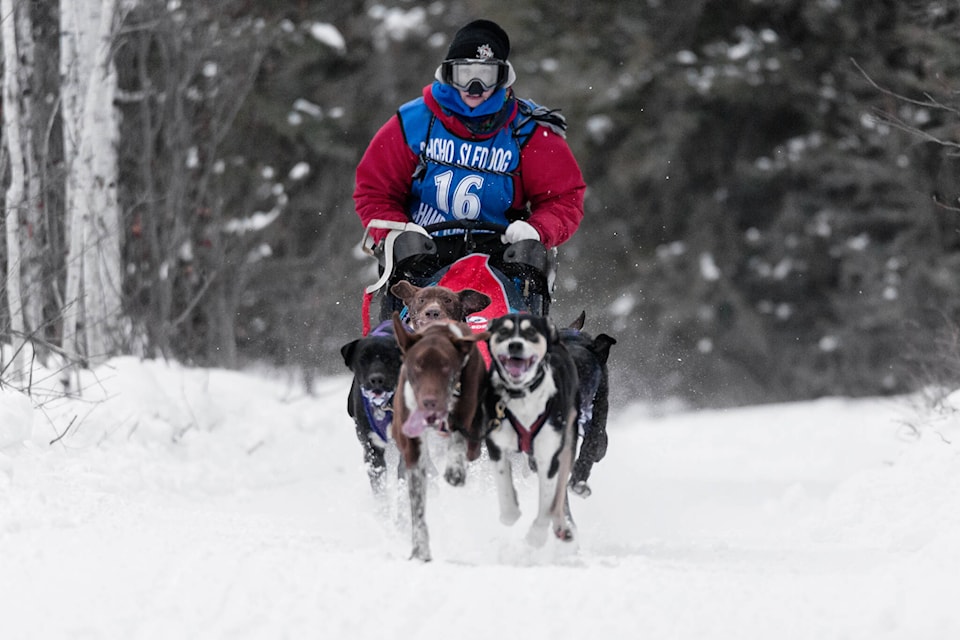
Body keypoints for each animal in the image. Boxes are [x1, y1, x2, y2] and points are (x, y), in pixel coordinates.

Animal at [392, 312, 492, 564]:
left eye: (446, 367)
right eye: (417, 366)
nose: (429, 402)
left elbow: (458, 441)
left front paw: (454, 469)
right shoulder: (411, 446)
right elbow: (417, 504)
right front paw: (420, 549)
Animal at [488, 312, 576, 548]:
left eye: (531, 332)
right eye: (503, 331)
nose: (515, 345)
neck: (522, 395)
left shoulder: (548, 456)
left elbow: (547, 502)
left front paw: (536, 536)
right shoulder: (495, 444)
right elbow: (503, 484)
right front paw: (511, 512)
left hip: (566, 446)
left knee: (559, 494)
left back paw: (562, 526)